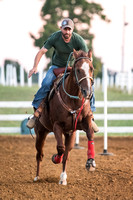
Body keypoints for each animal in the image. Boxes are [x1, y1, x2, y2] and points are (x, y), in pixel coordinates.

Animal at [33, 49, 95, 185]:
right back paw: (37, 176)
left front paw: (90, 162)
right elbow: (60, 148)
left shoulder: (80, 124)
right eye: (78, 70)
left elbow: (89, 136)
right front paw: (55, 158)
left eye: (91, 68)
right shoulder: (57, 125)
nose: (87, 92)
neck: (73, 99)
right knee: (39, 154)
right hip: (40, 132)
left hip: (68, 133)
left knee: (66, 152)